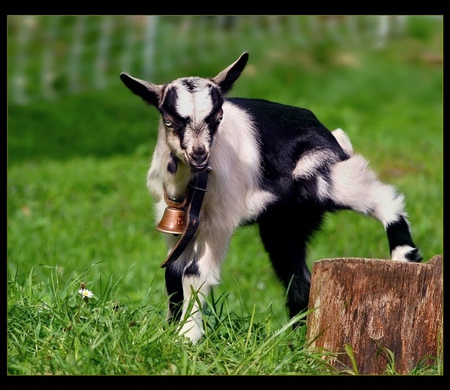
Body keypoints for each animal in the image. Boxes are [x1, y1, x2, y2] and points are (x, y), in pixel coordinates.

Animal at [120, 50, 422, 342]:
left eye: (217, 118)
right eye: (169, 121)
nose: (199, 154)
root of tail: (330, 134)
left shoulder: (219, 220)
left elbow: (194, 272)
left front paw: (186, 338)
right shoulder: (174, 222)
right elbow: (172, 273)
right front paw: (171, 331)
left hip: (323, 176)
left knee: (381, 194)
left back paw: (404, 255)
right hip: (284, 223)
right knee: (297, 277)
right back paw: (297, 339)